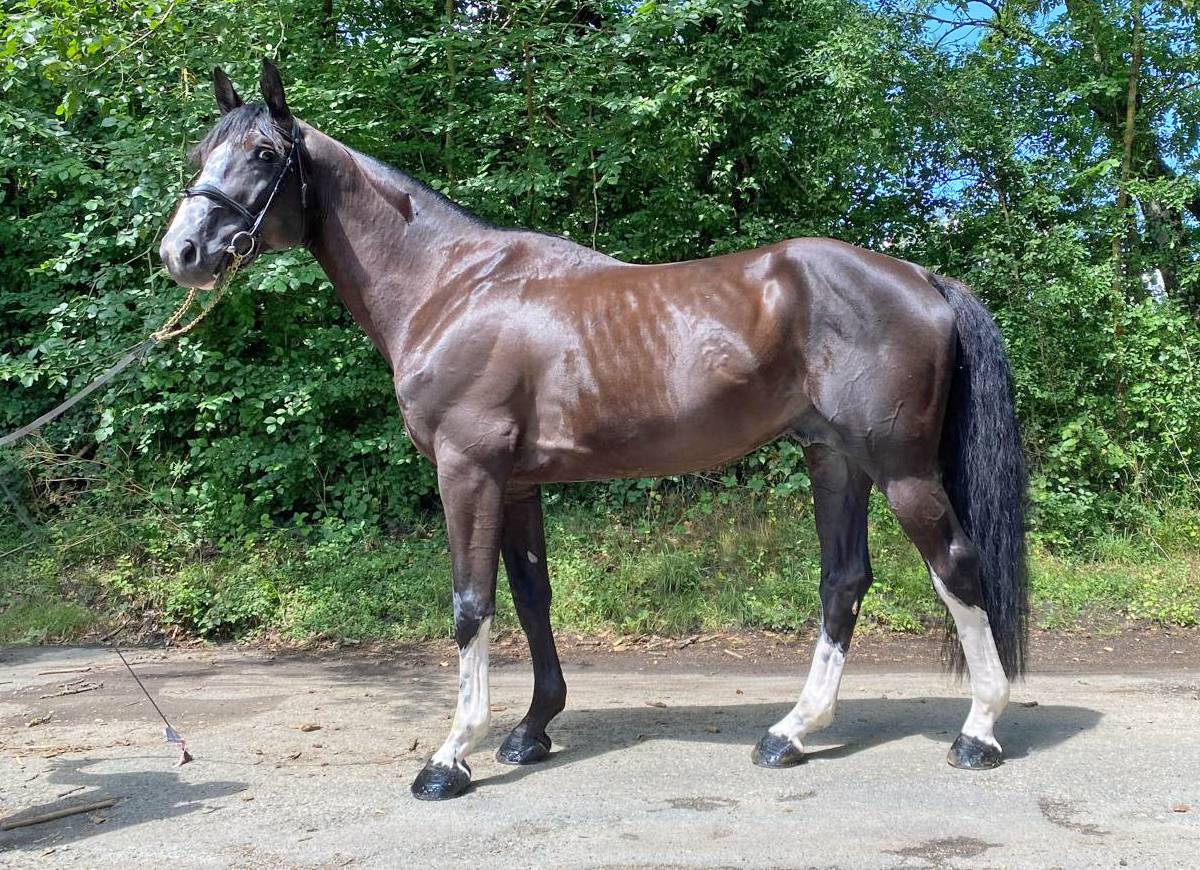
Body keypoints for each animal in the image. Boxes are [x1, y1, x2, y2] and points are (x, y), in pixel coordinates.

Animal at [160, 61, 1028, 801]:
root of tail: (922, 279)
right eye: (202, 150)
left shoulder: (467, 470)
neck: (451, 285)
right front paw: (531, 731)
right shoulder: (517, 483)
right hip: (834, 459)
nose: (183, 251)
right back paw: (790, 733)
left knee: (957, 568)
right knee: (843, 582)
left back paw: (979, 733)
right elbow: (531, 598)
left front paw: (451, 756)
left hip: (901, 469)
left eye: (264, 152)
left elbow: (470, 604)